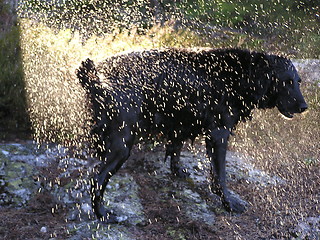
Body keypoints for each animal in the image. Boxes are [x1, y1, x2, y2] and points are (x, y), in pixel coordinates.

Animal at [77, 47, 308, 222]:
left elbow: (175, 149)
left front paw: (177, 171)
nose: (304, 107)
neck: (239, 76)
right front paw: (229, 202)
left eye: (298, 81)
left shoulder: (181, 122)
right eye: (286, 82)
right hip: (122, 144)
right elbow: (219, 176)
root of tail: (95, 78)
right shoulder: (218, 134)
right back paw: (102, 214)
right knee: (97, 179)